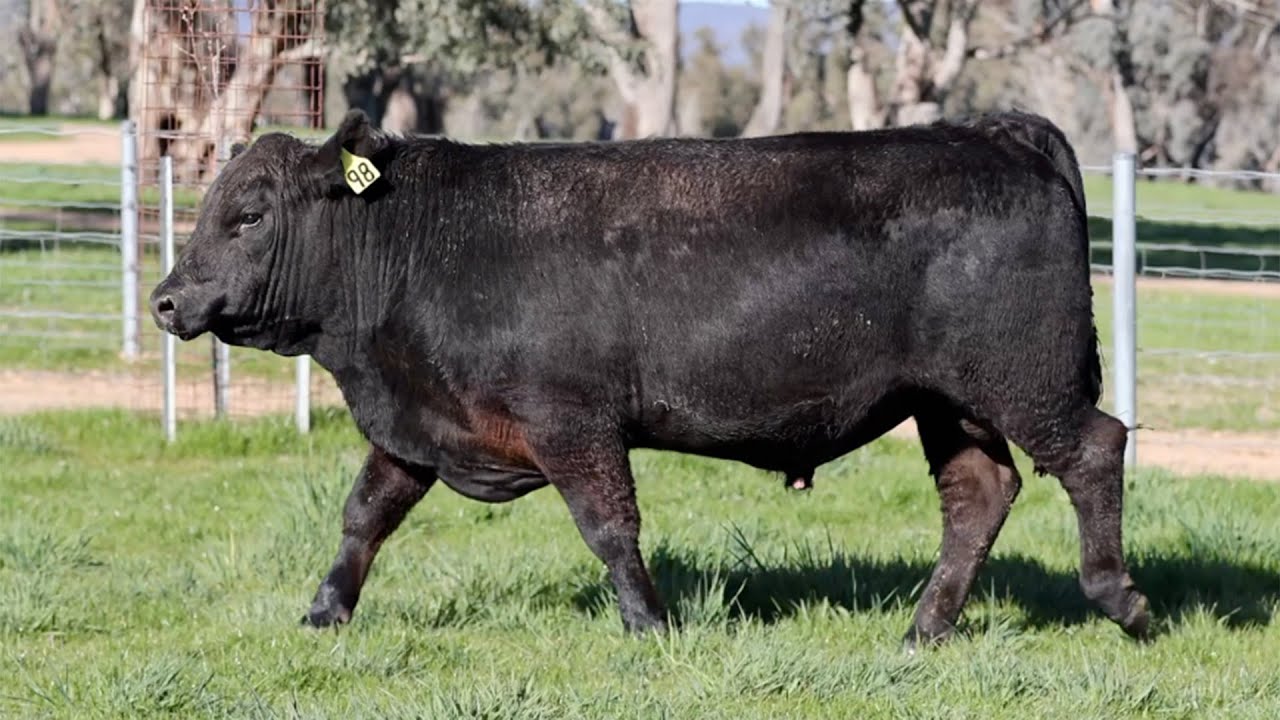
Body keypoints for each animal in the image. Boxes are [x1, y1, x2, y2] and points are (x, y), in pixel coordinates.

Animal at [149, 109, 1150, 646]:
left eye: (247, 214)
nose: (165, 300)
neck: (421, 239)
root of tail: (991, 132)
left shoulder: (571, 423)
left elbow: (608, 526)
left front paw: (649, 626)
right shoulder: (422, 423)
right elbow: (365, 516)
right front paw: (325, 612)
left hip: (1026, 381)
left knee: (1095, 450)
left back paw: (1122, 600)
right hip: (948, 404)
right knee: (980, 494)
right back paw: (923, 629)